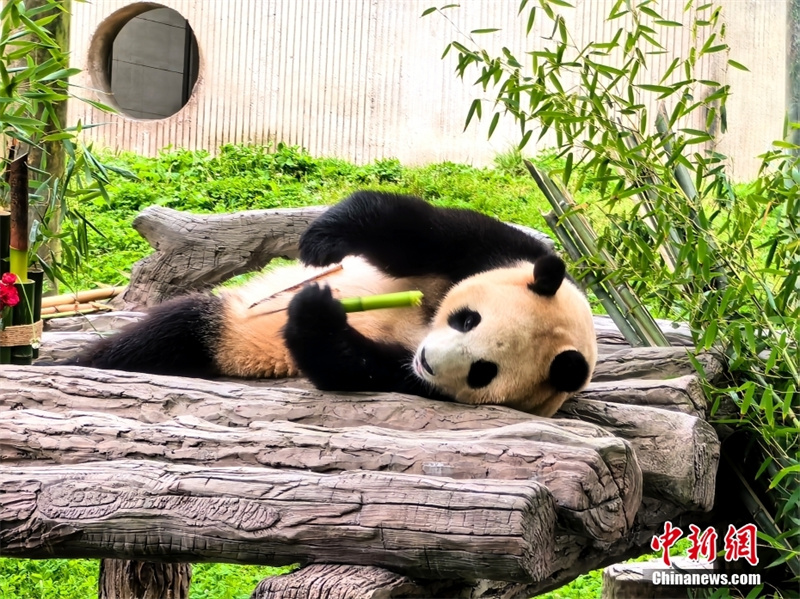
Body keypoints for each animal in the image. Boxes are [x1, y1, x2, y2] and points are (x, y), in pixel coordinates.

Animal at [66, 191, 598, 417]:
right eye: (468, 319)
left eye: (483, 371)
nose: (428, 359)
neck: (423, 325)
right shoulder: (504, 252)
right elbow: (417, 229)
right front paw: (321, 242)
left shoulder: (419, 385)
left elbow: (352, 367)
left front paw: (317, 312)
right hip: (231, 319)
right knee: (163, 334)